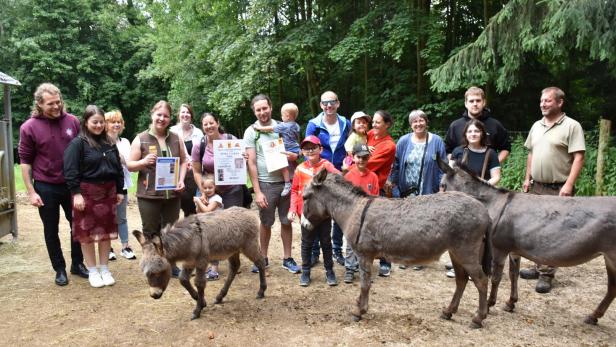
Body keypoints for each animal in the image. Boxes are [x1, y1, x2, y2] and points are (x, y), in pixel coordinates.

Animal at [134, 207, 266, 320]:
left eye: (157, 272)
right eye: (145, 273)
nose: (154, 295)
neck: (191, 238)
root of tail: (248, 211)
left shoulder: (201, 261)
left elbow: (199, 283)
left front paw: (197, 310)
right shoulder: (189, 262)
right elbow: (183, 279)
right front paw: (200, 300)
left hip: (249, 246)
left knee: (260, 262)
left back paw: (261, 291)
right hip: (233, 251)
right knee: (234, 267)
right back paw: (220, 296)